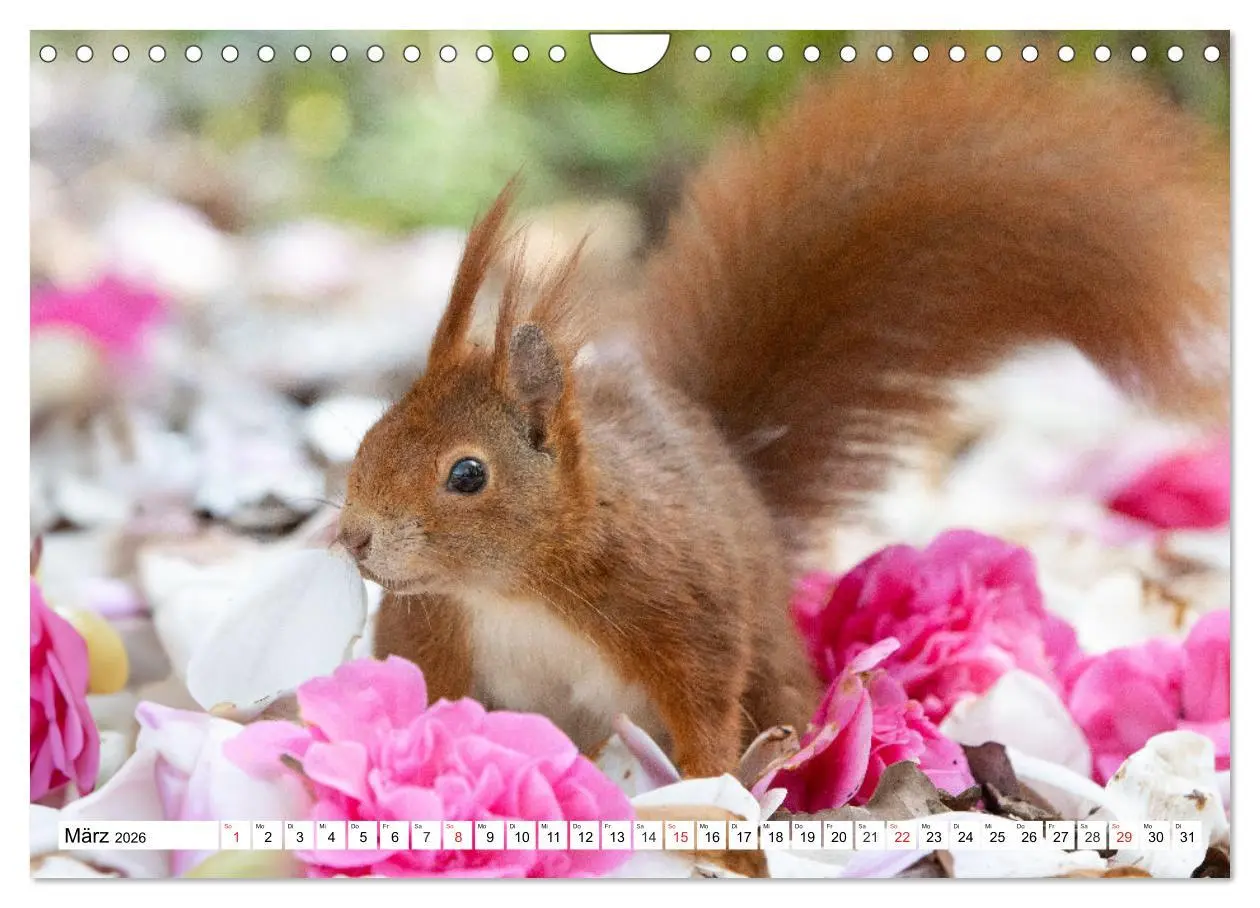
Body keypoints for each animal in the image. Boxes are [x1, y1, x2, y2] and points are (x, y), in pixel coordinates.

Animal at [337, 65, 1228, 780]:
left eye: (467, 474)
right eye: (371, 435)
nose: (353, 536)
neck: (515, 586)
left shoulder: (680, 608)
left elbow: (704, 706)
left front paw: (713, 797)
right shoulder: (433, 635)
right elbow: (425, 699)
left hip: (768, 654)